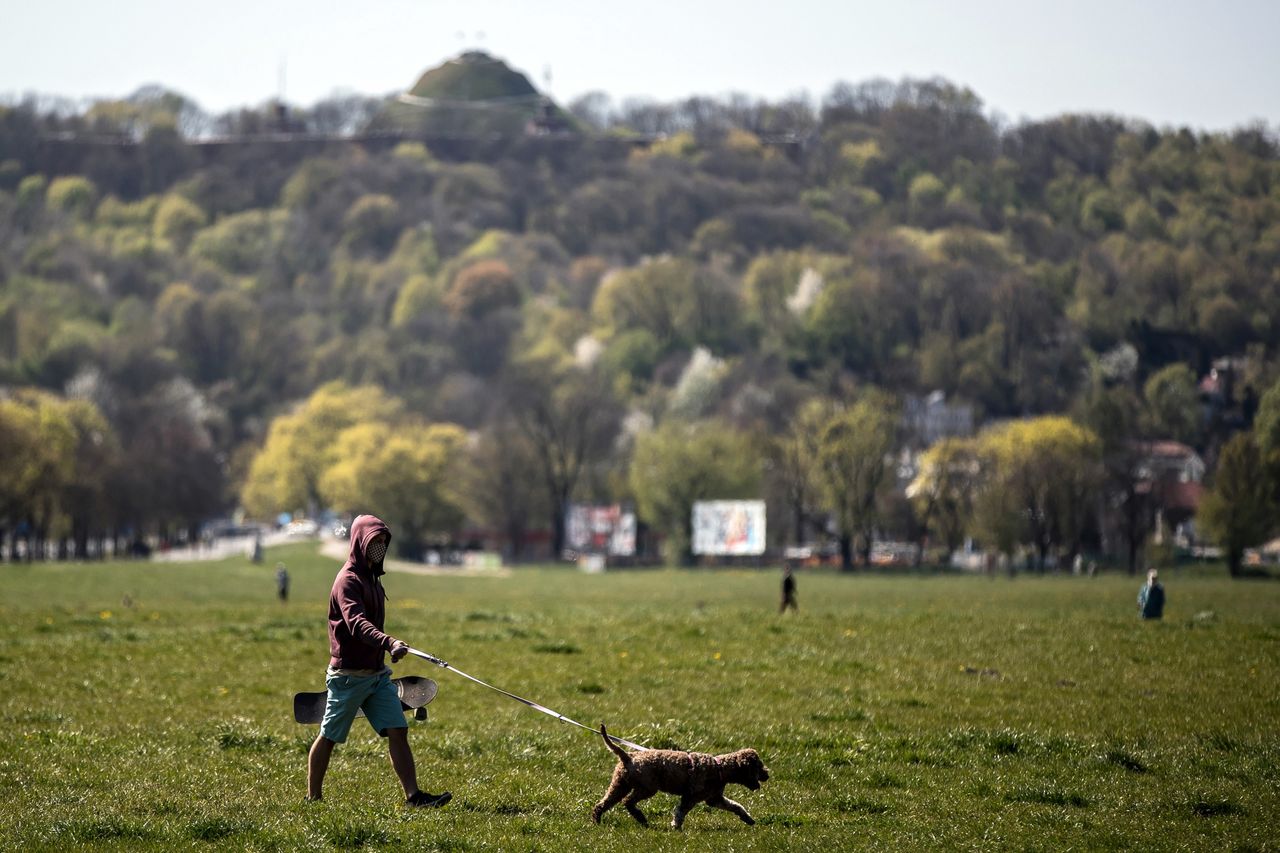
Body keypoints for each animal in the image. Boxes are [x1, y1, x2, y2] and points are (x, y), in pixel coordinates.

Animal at [588, 722, 768, 824]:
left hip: (620, 785)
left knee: (603, 804)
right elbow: (680, 813)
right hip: (647, 788)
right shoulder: (690, 797)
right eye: (758, 766)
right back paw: (641, 819)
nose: (767, 775)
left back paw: (598, 821)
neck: (719, 769)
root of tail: (628, 756)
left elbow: (736, 806)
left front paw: (748, 819)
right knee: (628, 802)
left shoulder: (714, 799)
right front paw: (677, 828)